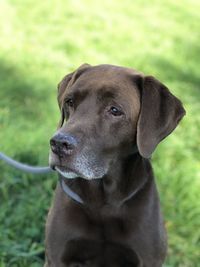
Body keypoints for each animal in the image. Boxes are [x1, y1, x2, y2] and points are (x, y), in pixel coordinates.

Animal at [45, 63, 184, 266]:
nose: (58, 144)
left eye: (115, 110)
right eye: (70, 101)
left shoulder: (148, 259)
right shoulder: (57, 257)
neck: (104, 201)